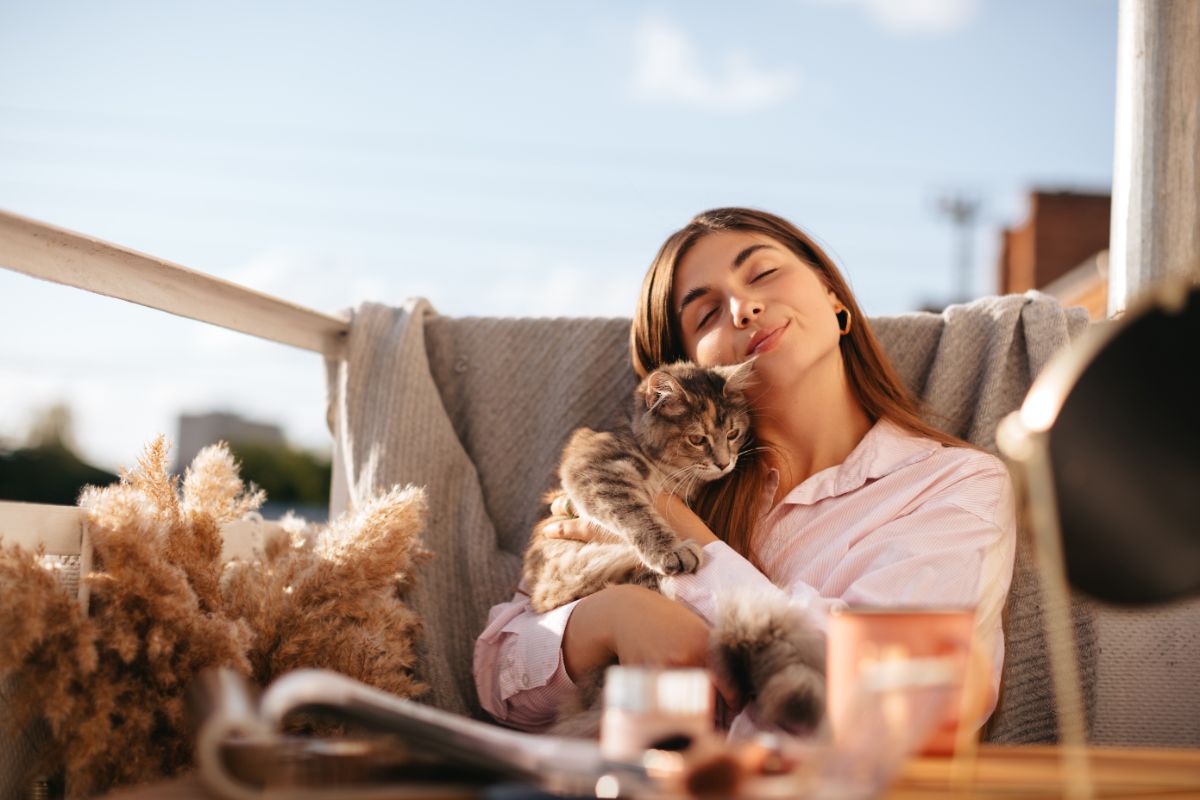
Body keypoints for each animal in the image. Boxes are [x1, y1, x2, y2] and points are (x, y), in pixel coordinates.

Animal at [523, 359, 825, 734]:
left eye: (733, 433)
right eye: (697, 439)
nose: (724, 462)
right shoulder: (597, 468)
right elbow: (635, 512)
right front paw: (672, 550)